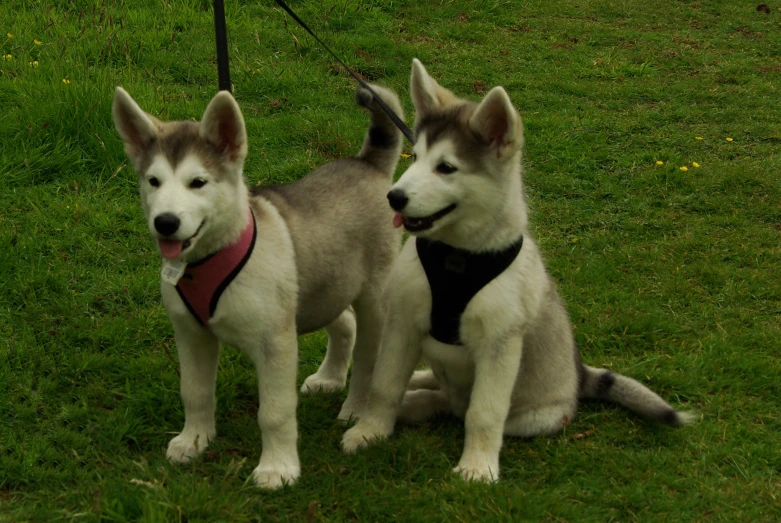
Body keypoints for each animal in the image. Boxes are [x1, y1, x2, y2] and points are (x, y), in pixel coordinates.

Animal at [113, 84, 406, 490]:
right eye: (153, 181)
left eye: (197, 182)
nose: (166, 222)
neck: (209, 258)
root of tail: (367, 164)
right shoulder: (191, 334)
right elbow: (195, 392)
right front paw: (195, 440)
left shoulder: (275, 343)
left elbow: (275, 412)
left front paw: (278, 468)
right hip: (322, 284)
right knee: (345, 322)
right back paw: (330, 378)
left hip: (374, 297)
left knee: (368, 358)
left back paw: (357, 410)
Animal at [338, 60, 692, 484]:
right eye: (416, 157)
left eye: (446, 168)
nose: (394, 197)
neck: (457, 258)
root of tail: (578, 377)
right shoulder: (403, 324)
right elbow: (384, 385)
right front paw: (370, 431)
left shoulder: (500, 344)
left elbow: (484, 412)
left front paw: (477, 466)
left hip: (537, 415)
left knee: (460, 409)